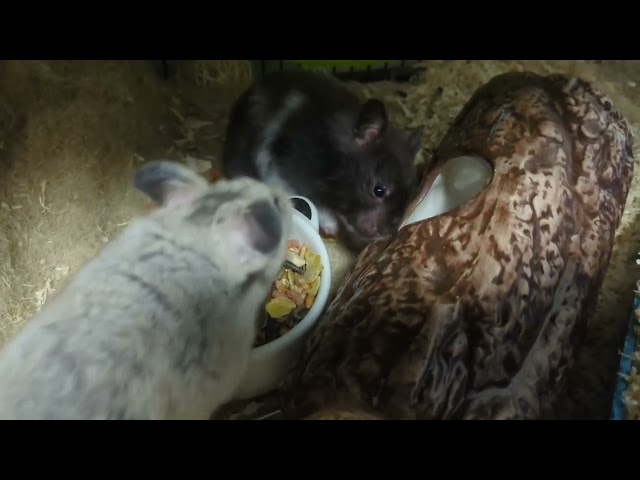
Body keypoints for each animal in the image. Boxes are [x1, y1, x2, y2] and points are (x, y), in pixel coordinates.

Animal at [221, 70, 425, 252]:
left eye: (409, 197)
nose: (384, 235)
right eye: (378, 190)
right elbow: (313, 202)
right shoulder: (285, 170)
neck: (330, 161)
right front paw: (332, 228)